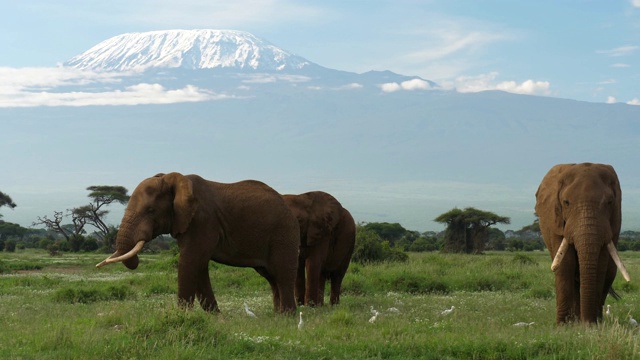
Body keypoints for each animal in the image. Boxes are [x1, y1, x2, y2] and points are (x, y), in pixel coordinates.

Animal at [95, 173, 300, 314]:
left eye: (151, 210)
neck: (173, 179)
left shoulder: (203, 220)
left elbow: (191, 261)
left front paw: (181, 316)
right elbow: (199, 266)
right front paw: (215, 316)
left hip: (283, 233)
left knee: (282, 273)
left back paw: (286, 317)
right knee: (271, 276)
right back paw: (277, 314)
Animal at [536, 163, 632, 324]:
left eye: (610, 202)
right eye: (566, 202)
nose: (587, 322)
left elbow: (600, 264)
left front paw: (591, 324)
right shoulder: (555, 222)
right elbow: (565, 264)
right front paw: (563, 325)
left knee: (608, 273)